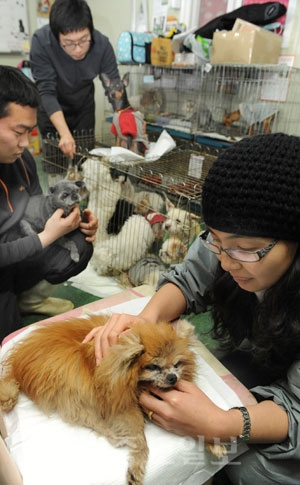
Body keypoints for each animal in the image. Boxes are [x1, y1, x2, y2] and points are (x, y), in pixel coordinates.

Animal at [0, 314, 199, 484]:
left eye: (177, 364)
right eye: (153, 366)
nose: (173, 377)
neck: (136, 383)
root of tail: (17, 368)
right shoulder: (118, 398)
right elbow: (139, 436)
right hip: (70, 384)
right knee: (90, 418)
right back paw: (115, 436)